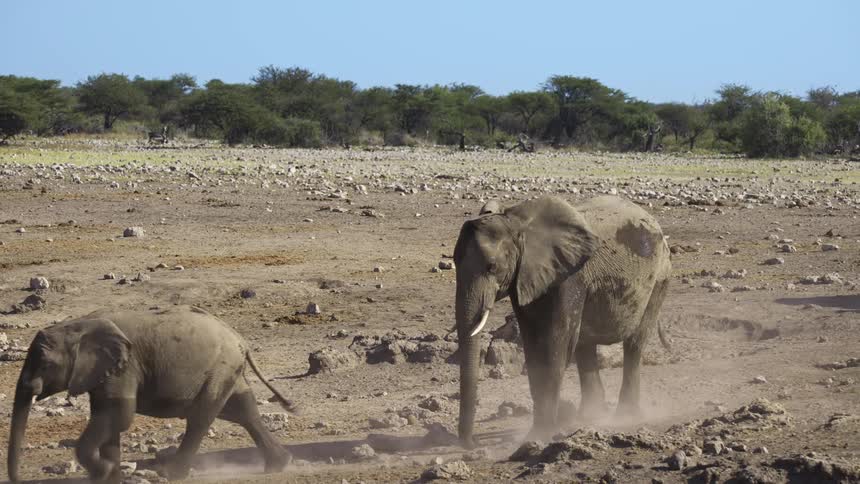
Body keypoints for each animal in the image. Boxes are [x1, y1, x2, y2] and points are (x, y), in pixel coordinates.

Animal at [8, 305, 297, 483]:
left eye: (45, 364)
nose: (17, 479)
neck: (79, 325)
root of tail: (240, 339)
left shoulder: (125, 367)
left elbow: (119, 415)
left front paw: (104, 472)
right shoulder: (106, 372)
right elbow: (109, 417)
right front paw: (111, 477)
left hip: (220, 367)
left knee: (201, 418)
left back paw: (173, 474)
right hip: (226, 369)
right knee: (243, 410)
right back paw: (279, 465)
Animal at [452, 195, 672, 447]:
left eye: (492, 267)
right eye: (454, 262)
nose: (472, 444)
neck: (517, 224)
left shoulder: (569, 278)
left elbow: (554, 349)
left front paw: (538, 437)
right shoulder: (528, 277)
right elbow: (534, 350)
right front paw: (540, 435)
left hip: (659, 279)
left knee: (634, 344)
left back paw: (625, 417)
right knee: (585, 347)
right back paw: (590, 418)